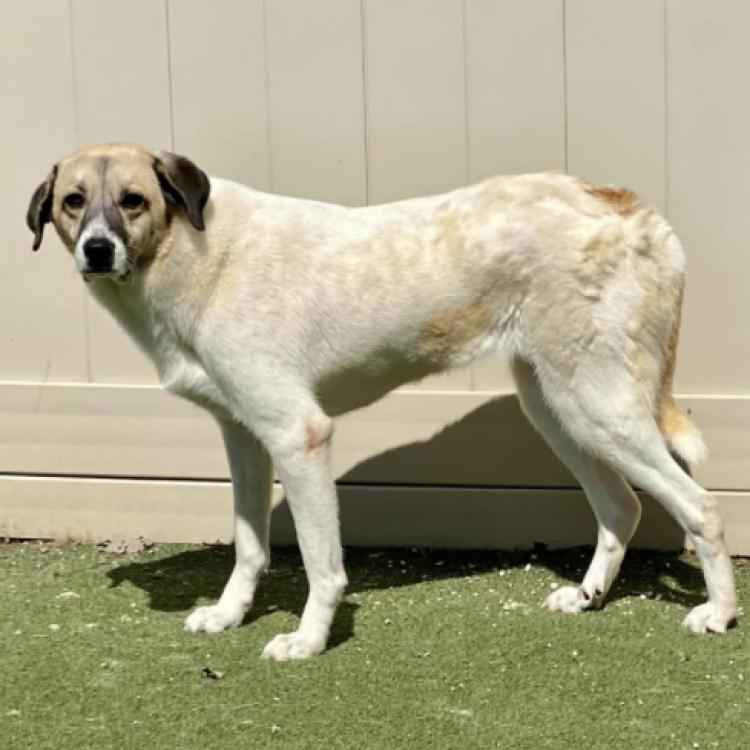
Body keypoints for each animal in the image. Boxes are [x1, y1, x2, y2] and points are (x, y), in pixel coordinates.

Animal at [27, 144, 740, 660]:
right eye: (73, 202)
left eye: (134, 201)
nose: (97, 250)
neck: (199, 252)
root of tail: (628, 205)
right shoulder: (245, 438)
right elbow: (250, 546)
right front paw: (229, 615)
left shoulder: (299, 434)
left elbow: (320, 563)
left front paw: (308, 641)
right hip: (559, 409)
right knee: (621, 506)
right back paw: (589, 597)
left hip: (598, 406)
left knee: (701, 507)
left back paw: (720, 614)